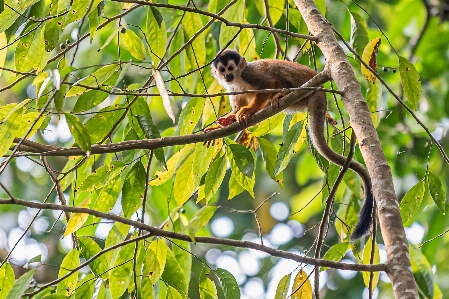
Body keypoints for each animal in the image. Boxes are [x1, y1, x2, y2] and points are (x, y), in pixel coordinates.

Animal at [210, 49, 374, 241]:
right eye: (222, 70)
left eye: (230, 68)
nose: (227, 76)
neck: (237, 79)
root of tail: (320, 91)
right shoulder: (232, 89)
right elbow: (237, 105)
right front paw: (226, 121)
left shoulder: (249, 74)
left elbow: (268, 82)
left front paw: (247, 111)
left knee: (275, 70)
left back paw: (280, 94)